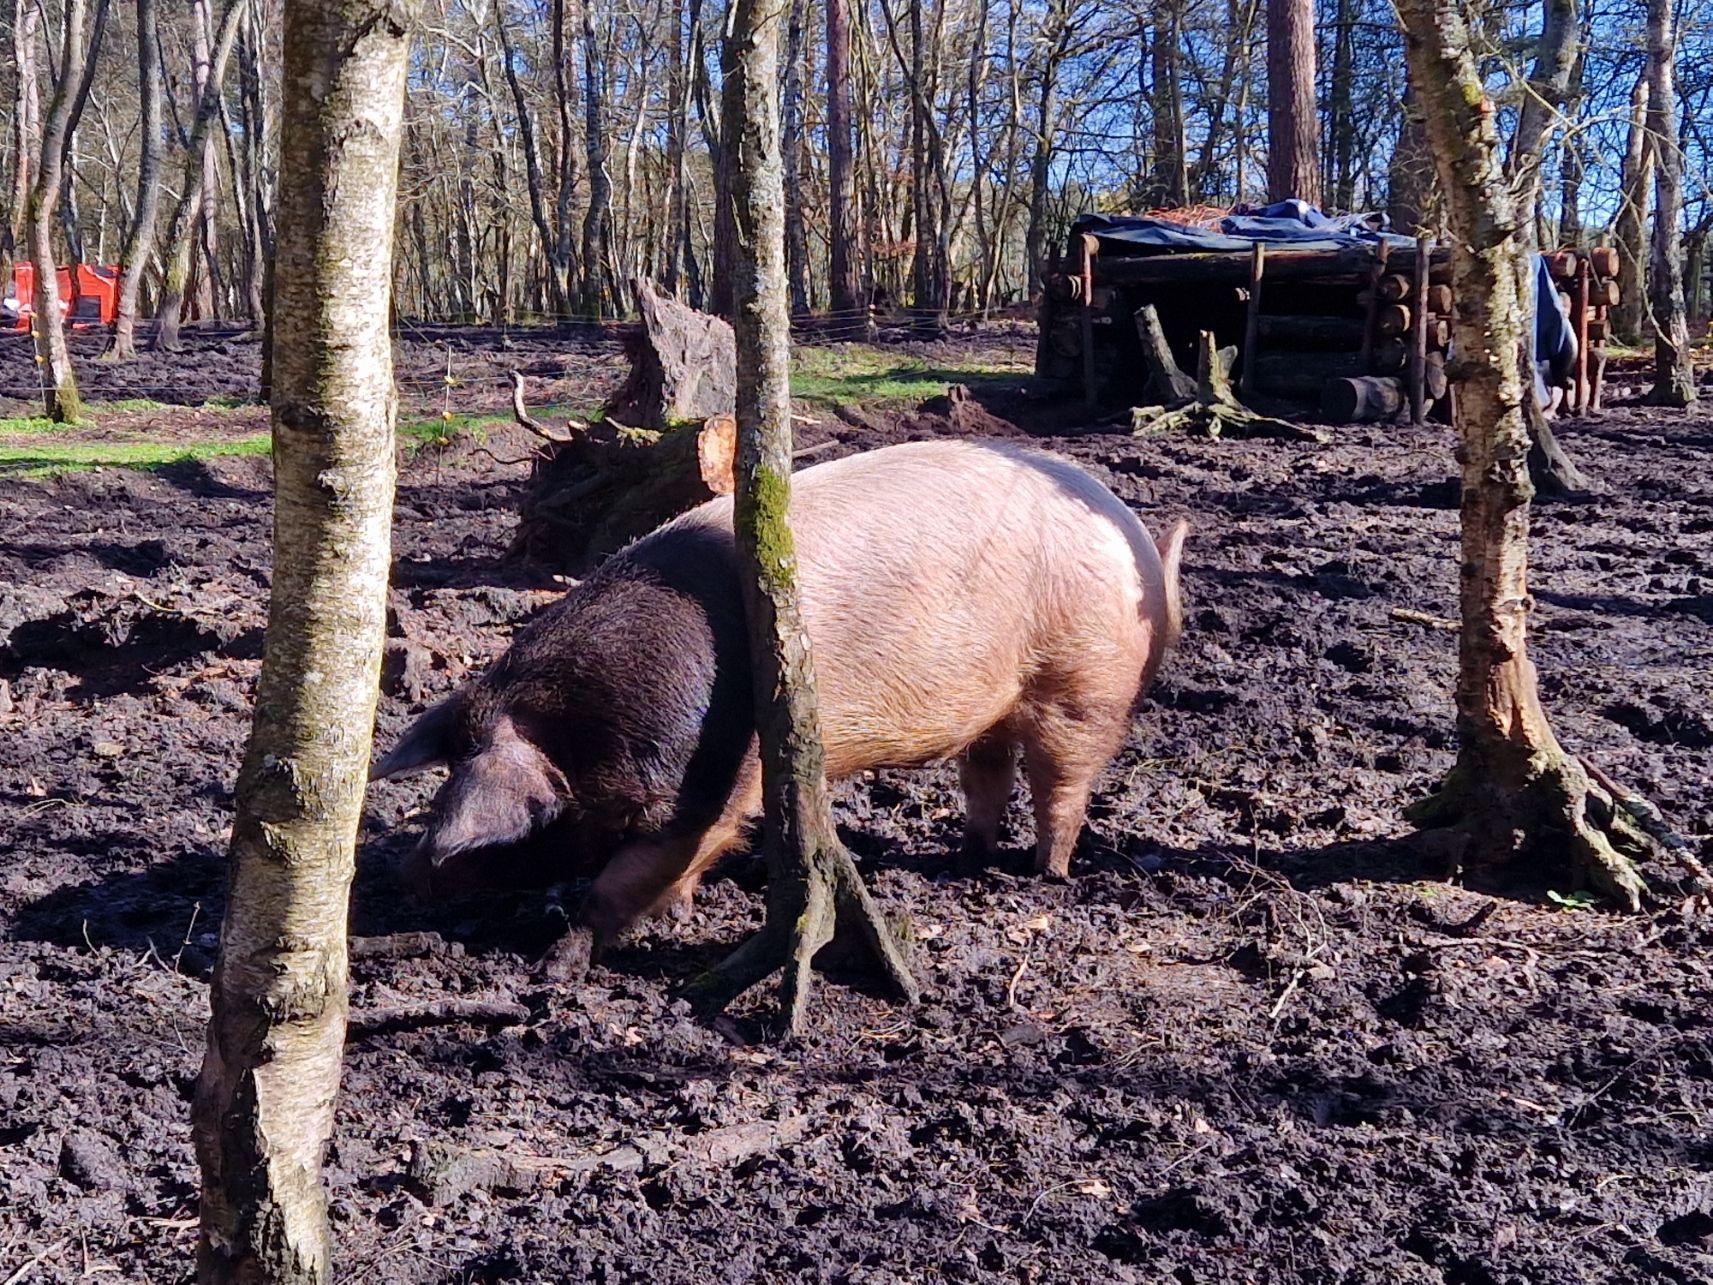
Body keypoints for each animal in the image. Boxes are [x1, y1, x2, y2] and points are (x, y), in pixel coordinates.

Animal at [372, 439, 1186, 977]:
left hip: (1083, 685)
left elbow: (630, 878)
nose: (408, 876)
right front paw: (678, 912)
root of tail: (1134, 535)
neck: (587, 729)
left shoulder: (716, 784)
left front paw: (560, 963)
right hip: (997, 703)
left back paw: (1044, 874)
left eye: (519, 820)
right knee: (988, 771)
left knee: (1063, 784)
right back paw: (969, 856)